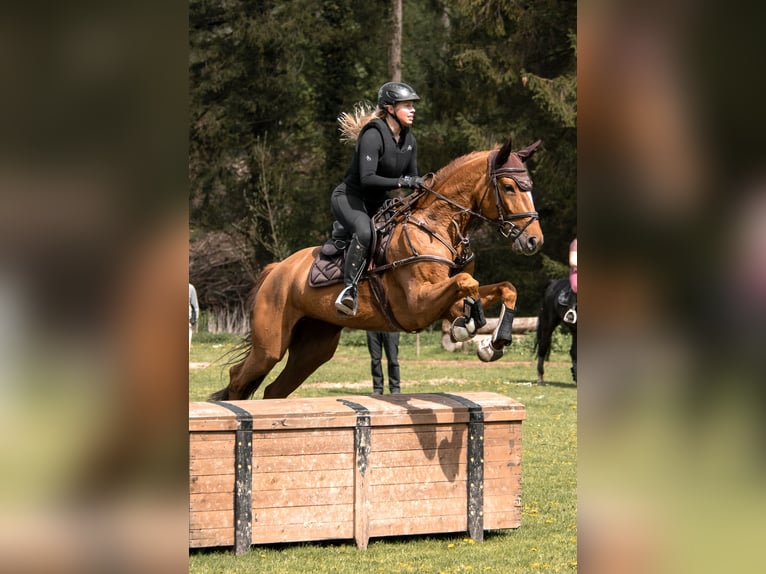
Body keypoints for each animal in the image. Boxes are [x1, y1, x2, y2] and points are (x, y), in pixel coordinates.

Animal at [210, 138, 544, 400]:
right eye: (509, 187)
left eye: (530, 188)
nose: (534, 240)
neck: (436, 226)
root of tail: (277, 269)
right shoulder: (416, 305)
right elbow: (466, 281)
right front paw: (470, 325)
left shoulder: (440, 302)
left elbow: (504, 288)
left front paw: (493, 339)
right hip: (270, 344)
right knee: (238, 378)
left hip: (314, 347)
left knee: (273, 390)